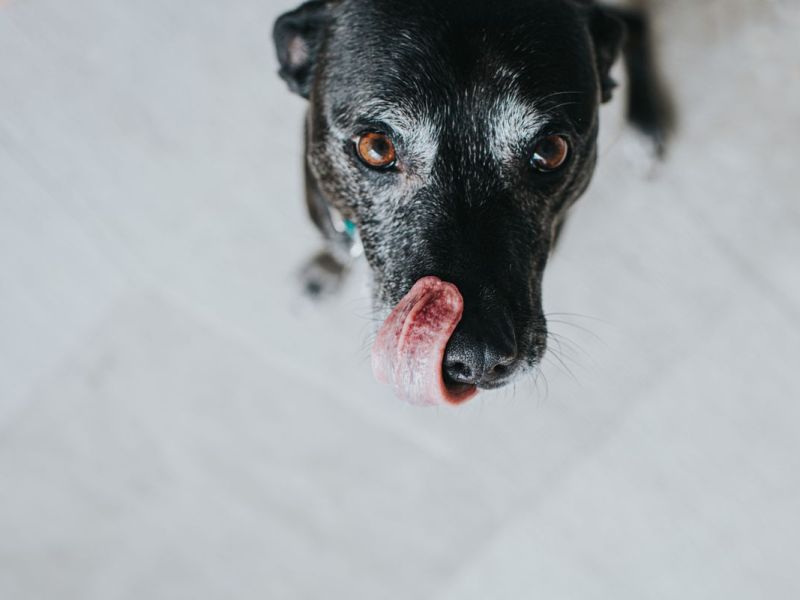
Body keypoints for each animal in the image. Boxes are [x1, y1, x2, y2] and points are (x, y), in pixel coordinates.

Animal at [272, 0, 672, 406]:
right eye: (377, 147)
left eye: (550, 151)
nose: (477, 357)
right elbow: (335, 244)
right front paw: (322, 272)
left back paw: (643, 126)